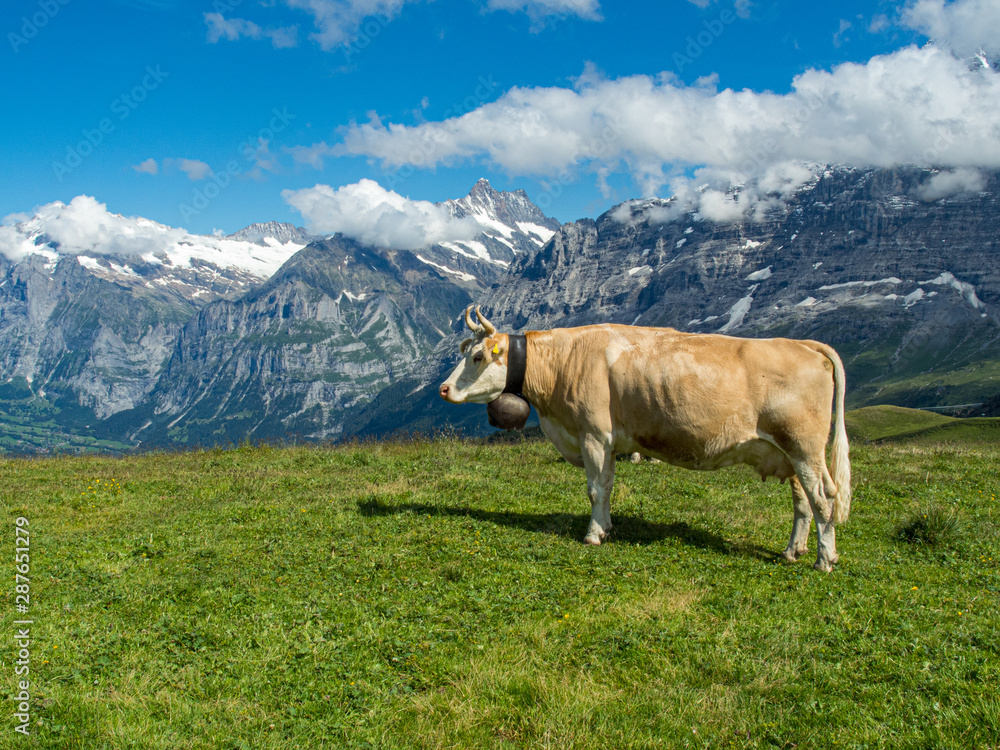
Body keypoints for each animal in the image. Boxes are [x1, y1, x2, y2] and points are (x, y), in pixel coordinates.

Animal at [440, 304, 852, 568]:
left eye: (477, 356)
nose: (443, 389)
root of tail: (802, 344)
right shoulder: (607, 442)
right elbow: (607, 485)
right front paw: (606, 527)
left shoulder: (593, 435)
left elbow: (595, 489)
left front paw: (593, 535)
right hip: (789, 452)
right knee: (803, 502)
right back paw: (793, 551)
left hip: (804, 447)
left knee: (823, 498)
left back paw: (825, 558)